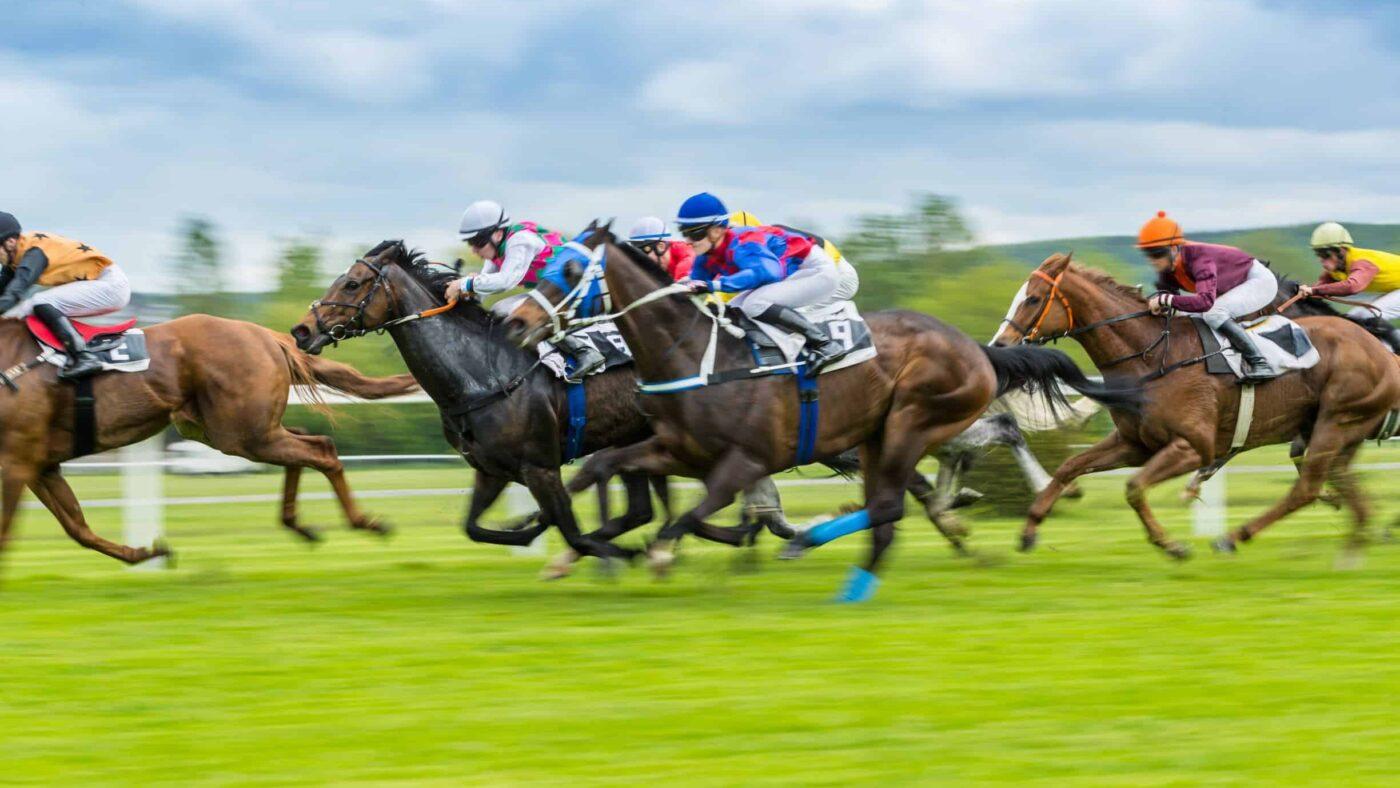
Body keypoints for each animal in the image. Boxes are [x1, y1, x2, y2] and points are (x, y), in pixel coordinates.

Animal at [0, 313, 417, 568]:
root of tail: (267, 335)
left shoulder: (17, 461)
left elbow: (9, 533)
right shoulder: (38, 465)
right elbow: (77, 527)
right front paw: (147, 551)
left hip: (242, 433)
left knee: (321, 449)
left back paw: (364, 521)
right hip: (232, 430)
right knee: (304, 443)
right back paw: (298, 523)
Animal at [291, 240, 700, 573]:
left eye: (353, 283)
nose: (302, 331)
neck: (483, 375)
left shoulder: (540, 467)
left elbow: (571, 530)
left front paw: (618, 553)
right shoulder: (491, 469)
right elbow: (475, 528)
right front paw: (529, 529)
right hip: (630, 437)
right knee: (640, 509)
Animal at [501, 222, 1136, 599]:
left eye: (567, 270)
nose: (515, 322)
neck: (697, 352)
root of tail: (974, 347)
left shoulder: (743, 460)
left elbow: (689, 516)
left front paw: (652, 553)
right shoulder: (676, 449)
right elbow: (598, 468)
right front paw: (548, 535)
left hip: (912, 422)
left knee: (913, 488)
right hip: (882, 435)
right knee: (895, 500)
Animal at [996, 253, 1400, 554]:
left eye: (1033, 299)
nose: (1000, 345)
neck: (1154, 356)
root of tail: (1380, 352)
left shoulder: (1193, 447)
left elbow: (1134, 487)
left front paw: (1171, 544)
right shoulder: (1135, 443)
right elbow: (1070, 467)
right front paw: (1030, 529)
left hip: (1336, 421)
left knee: (1307, 488)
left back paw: (1233, 537)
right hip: (1335, 430)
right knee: (1339, 485)